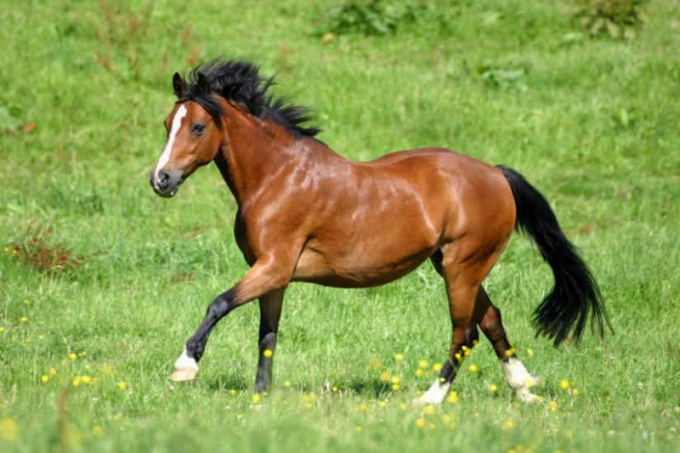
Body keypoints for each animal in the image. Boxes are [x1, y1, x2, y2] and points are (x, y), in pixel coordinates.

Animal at [150, 59, 612, 402]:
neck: (276, 177)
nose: (161, 180)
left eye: (197, 127)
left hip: (463, 267)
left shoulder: (274, 267)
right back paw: (525, 390)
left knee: (464, 333)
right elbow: (267, 334)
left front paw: (184, 367)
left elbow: (219, 304)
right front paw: (261, 395)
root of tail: (496, 175)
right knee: (492, 319)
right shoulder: (273, 275)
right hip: (456, 267)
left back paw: (430, 399)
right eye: (167, 123)